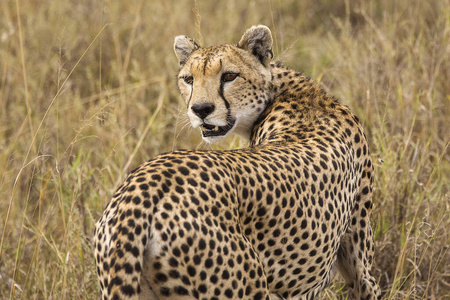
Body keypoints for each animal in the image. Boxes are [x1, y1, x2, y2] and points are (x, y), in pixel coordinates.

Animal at [94, 26, 380, 300]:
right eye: (189, 79)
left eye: (229, 76)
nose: (201, 109)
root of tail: (142, 187)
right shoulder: (359, 262)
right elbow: (368, 285)